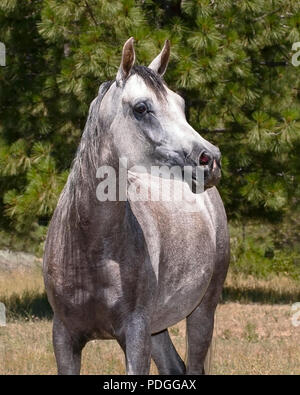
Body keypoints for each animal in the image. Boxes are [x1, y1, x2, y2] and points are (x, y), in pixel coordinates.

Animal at [42, 38, 230, 376]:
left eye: (180, 104)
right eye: (141, 108)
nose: (210, 160)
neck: (87, 245)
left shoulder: (135, 335)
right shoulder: (64, 337)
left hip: (202, 311)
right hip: (158, 328)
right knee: (173, 367)